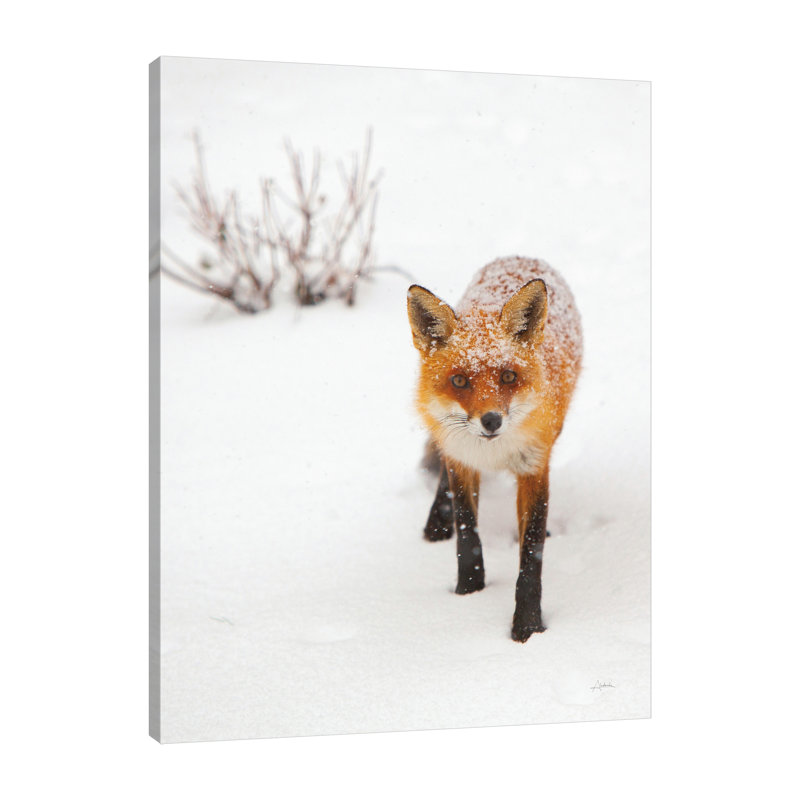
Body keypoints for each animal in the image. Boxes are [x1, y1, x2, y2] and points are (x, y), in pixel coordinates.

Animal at [407, 256, 582, 642]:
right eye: (459, 381)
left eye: (508, 377)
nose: (491, 421)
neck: (493, 454)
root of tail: (519, 256)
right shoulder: (462, 461)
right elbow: (467, 533)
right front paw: (468, 592)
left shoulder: (534, 466)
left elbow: (531, 554)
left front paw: (528, 626)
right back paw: (435, 523)